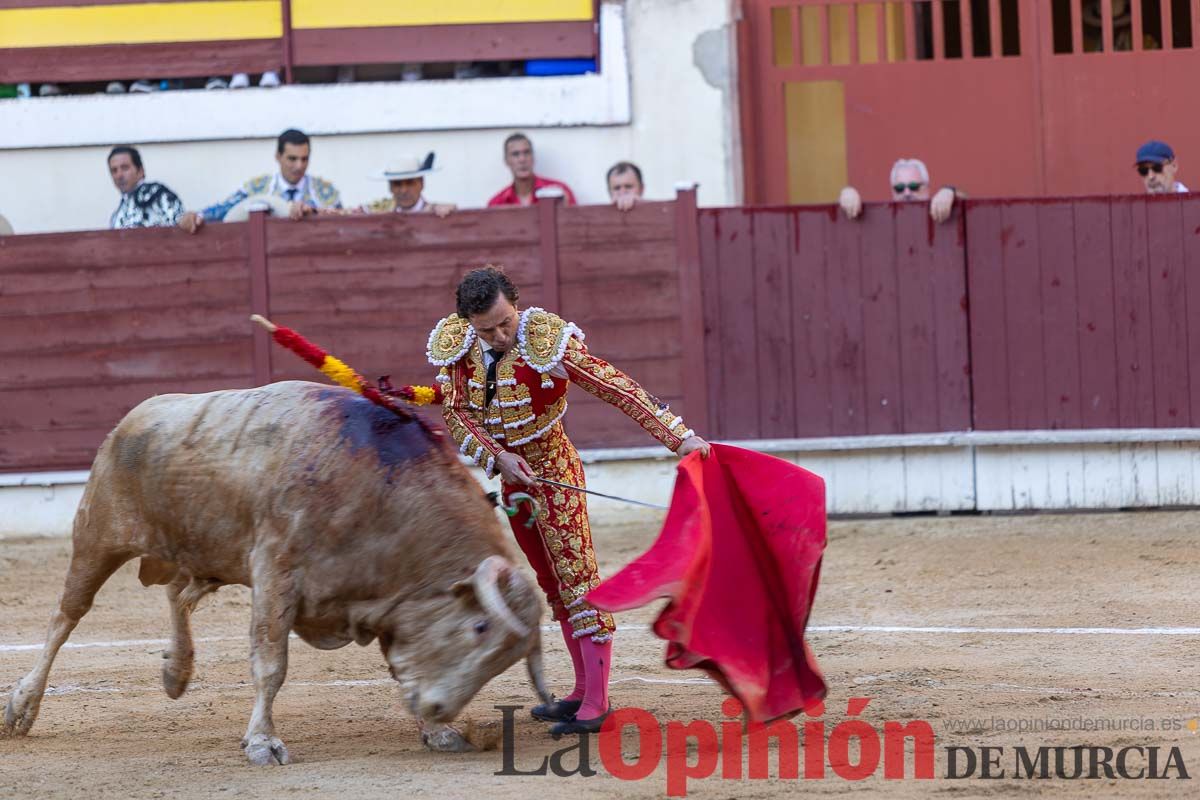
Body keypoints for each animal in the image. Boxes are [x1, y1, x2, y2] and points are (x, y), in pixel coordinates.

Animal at [2, 383, 549, 767]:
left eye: (503, 660)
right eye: (479, 627)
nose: (440, 709)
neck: (379, 495)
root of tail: (132, 417)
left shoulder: (390, 602)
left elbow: (403, 669)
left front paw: (436, 733)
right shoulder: (276, 575)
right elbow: (271, 664)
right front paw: (262, 743)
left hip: (208, 554)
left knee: (179, 594)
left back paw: (176, 671)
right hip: (97, 537)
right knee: (66, 617)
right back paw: (23, 707)